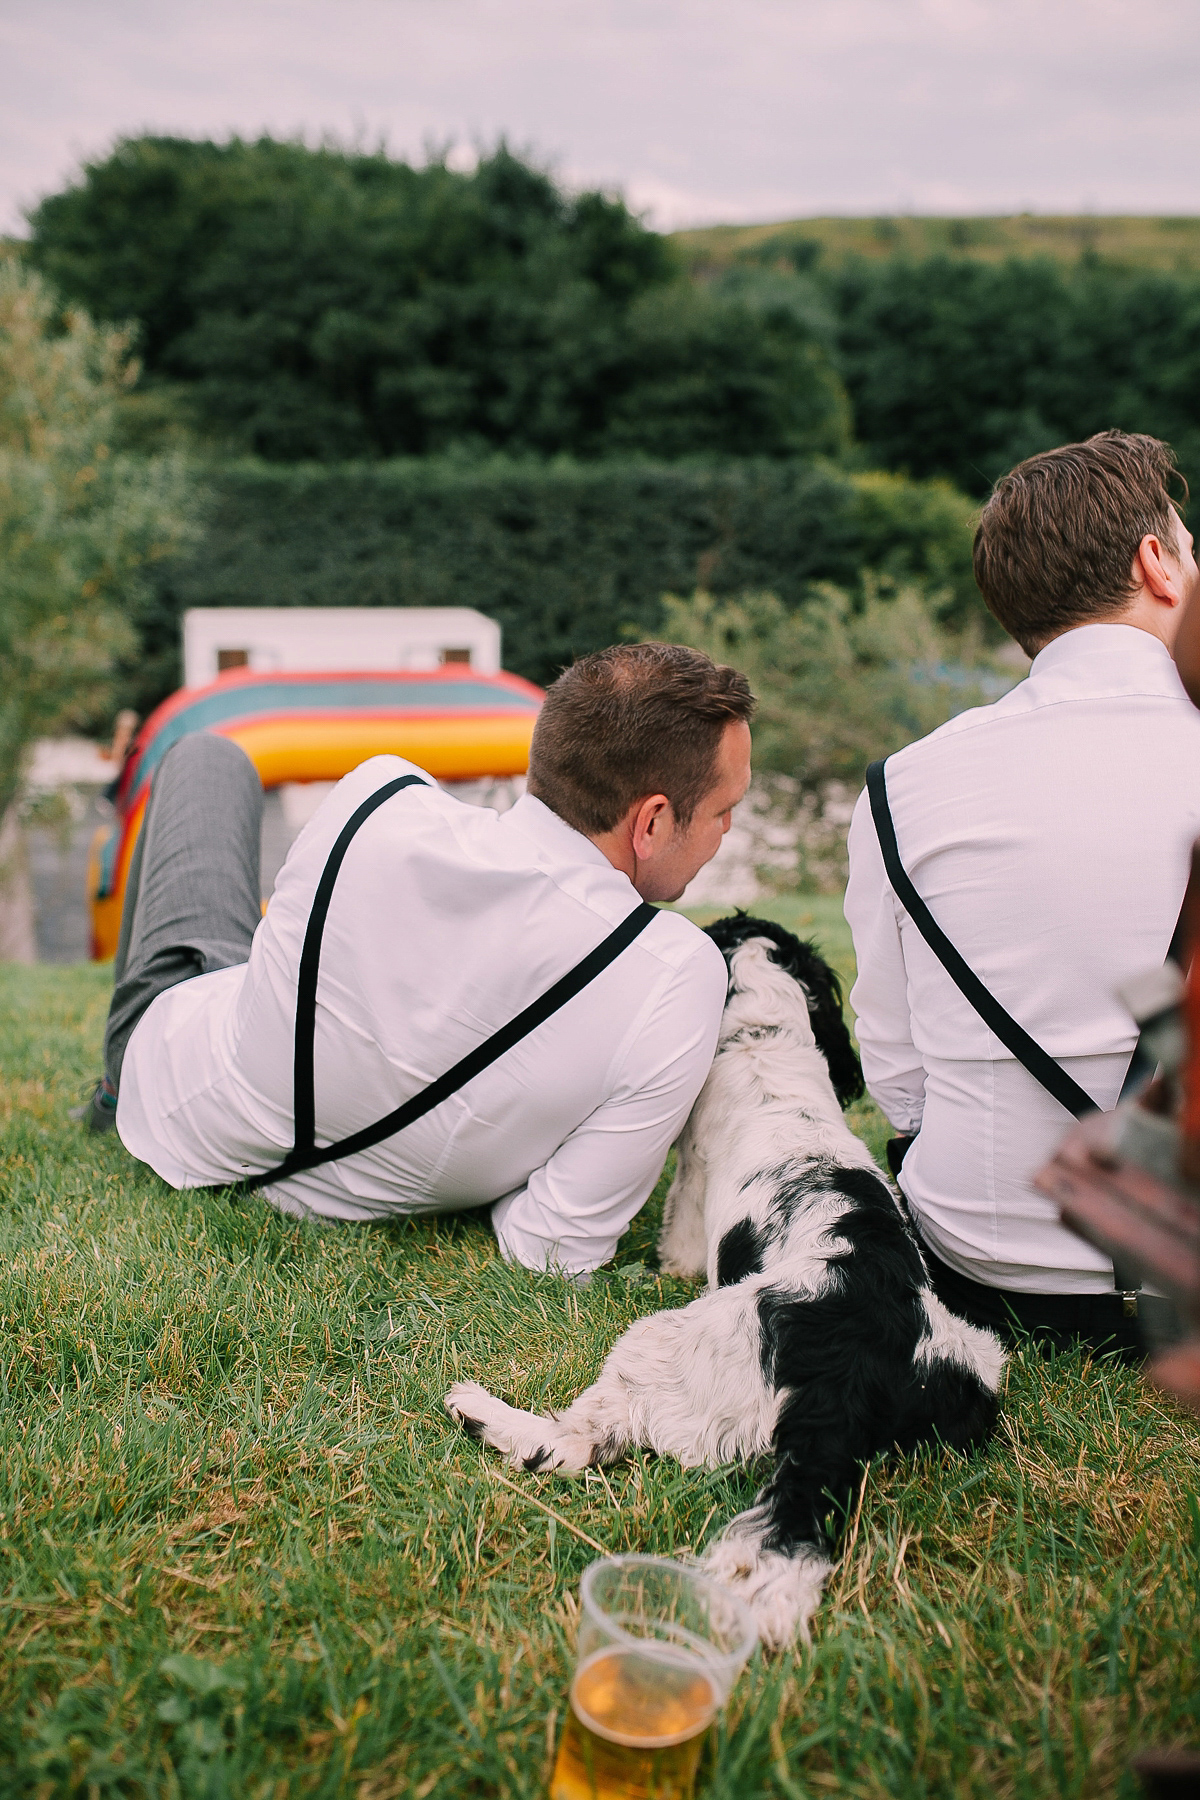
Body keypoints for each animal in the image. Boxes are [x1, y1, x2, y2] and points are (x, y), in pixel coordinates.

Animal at [444, 914, 1007, 1648]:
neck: (764, 1038)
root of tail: (851, 1375)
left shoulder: (688, 1185)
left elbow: (678, 1244)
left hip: (663, 1347)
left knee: (575, 1443)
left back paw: (480, 1410)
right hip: (979, 1362)